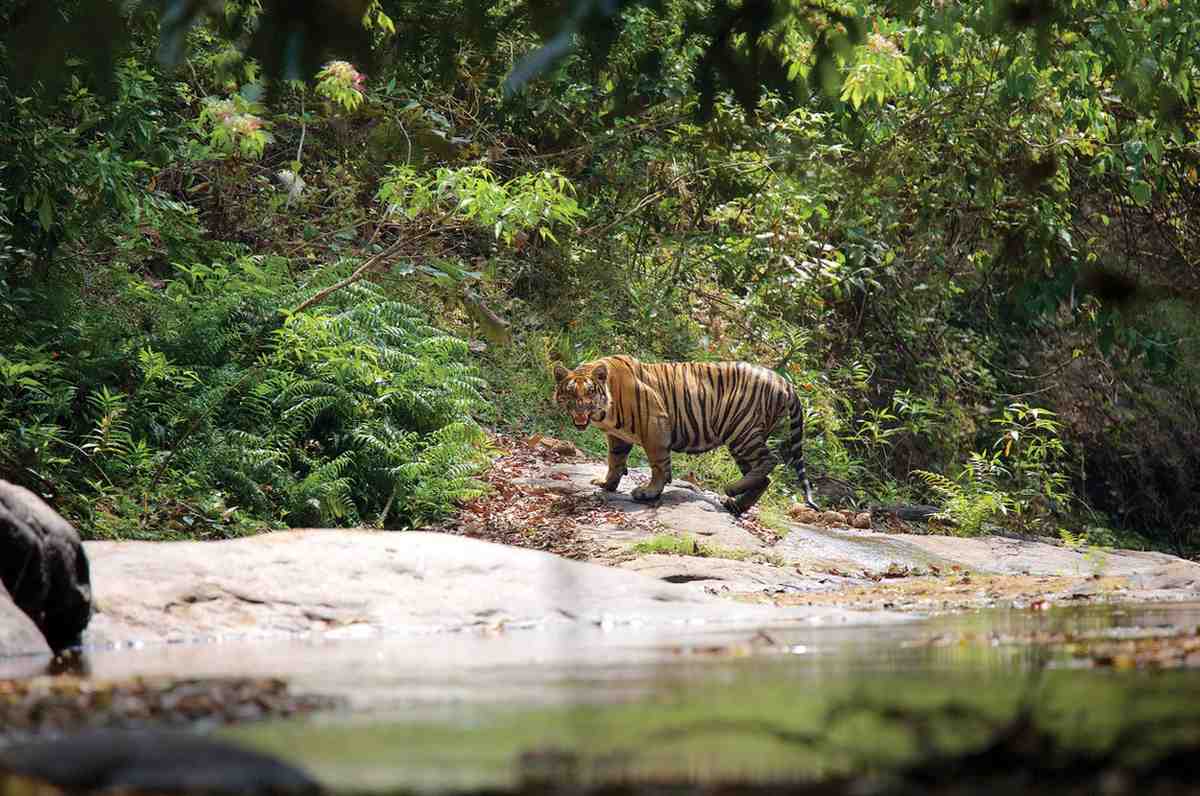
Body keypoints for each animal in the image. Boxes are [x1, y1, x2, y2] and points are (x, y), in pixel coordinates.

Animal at [549, 355, 816, 516]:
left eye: (589, 393)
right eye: (571, 394)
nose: (580, 410)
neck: (606, 411)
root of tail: (784, 381)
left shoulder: (655, 424)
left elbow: (658, 465)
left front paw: (649, 492)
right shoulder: (618, 437)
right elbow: (615, 461)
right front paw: (607, 484)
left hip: (742, 431)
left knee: (770, 460)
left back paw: (731, 490)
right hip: (743, 439)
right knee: (764, 478)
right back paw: (736, 504)